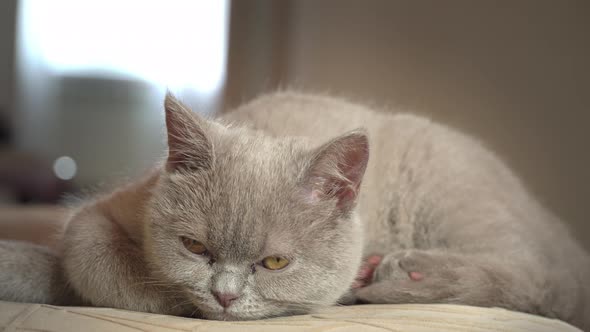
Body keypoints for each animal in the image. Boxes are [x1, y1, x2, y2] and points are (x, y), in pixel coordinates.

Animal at [1, 92, 590, 328]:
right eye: (194, 247)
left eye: (276, 263)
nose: (224, 296)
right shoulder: (104, 214)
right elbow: (91, 254)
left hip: (452, 193)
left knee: (539, 279)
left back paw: (401, 272)